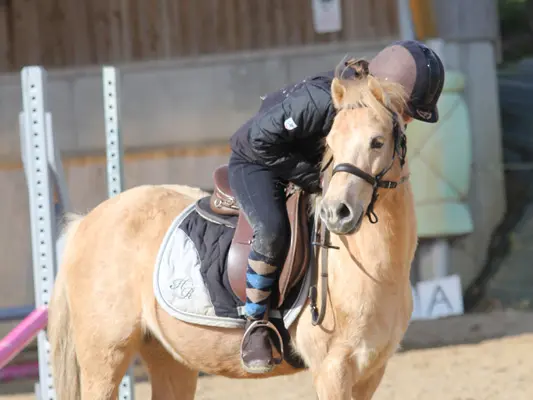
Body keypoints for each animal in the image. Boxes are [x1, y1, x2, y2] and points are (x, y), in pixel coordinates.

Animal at [48, 63, 416, 400]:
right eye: (331, 143)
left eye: (377, 141)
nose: (335, 212)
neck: (374, 268)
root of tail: (87, 221)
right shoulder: (332, 370)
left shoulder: (371, 371)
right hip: (105, 357)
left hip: (169, 358)